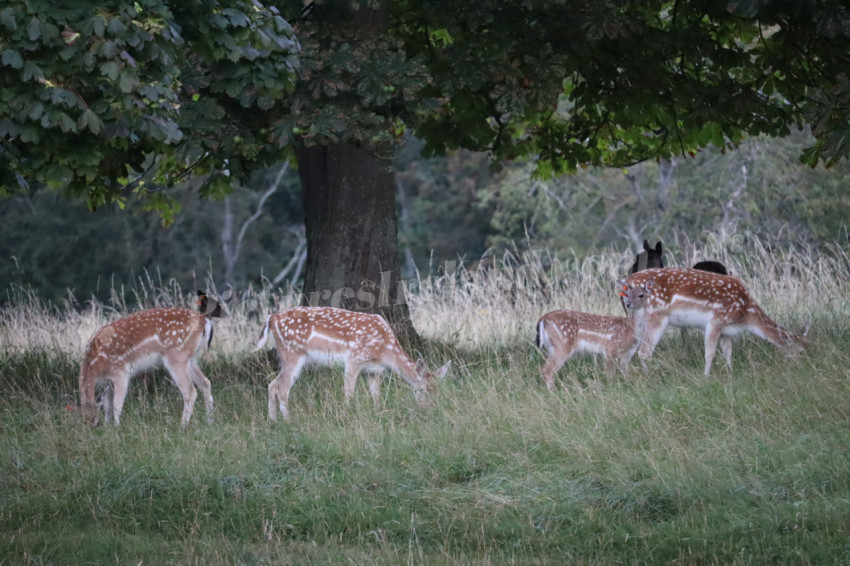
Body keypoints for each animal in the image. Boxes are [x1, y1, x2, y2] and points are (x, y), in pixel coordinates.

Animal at [78, 293, 220, 427]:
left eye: (94, 422)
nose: (94, 426)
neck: (94, 365)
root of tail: (203, 320)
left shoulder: (120, 373)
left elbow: (116, 406)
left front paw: (117, 428)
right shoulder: (106, 383)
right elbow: (107, 406)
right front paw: (108, 427)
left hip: (177, 356)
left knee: (191, 391)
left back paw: (182, 426)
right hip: (191, 358)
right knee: (205, 383)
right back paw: (210, 422)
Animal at [255, 306, 452, 421]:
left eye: (439, 390)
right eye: (423, 390)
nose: (433, 409)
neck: (385, 350)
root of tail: (271, 319)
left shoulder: (374, 370)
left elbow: (376, 397)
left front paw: (379, 414)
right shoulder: (354, 359)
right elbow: (349, 391)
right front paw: (347, 415)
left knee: (272, 384)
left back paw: (273, 421)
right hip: (293, 353)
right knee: (282, 388)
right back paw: (289, 420)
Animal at [618, 268, 807, 375]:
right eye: (801, 350)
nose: (802, 367)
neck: (746, 314)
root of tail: (626, 283)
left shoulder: (726, 331)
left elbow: (728, 353)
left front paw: (730, 374)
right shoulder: (716, 321)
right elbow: (710, 353)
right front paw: (706, 377)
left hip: (638, 317)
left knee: (630, 350)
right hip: (656, 315)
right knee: (644, 351)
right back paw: (647, 376)